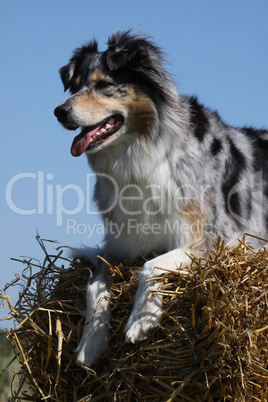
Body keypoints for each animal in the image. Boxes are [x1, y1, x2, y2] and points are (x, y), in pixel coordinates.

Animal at [54, 29, 268, 366]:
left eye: (103, 85)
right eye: (75, 87)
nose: (59, 111)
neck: (139, 154)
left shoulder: (221, 241)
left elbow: (152, 265)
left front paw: (140, 320)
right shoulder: (118, 247)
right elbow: (94, 288)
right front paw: (91, 342)